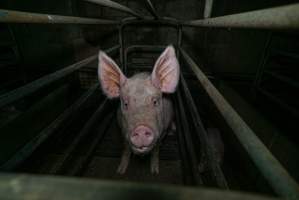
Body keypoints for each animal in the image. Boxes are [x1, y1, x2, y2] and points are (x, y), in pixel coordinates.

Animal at [98, 45, 179, 173]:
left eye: (155, 101)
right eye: (126, 104)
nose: (141, 129)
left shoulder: (162, 132)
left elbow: (156, 149)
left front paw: (154, 171)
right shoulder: (123, 130)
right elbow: (126, 149)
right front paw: (120, 171)